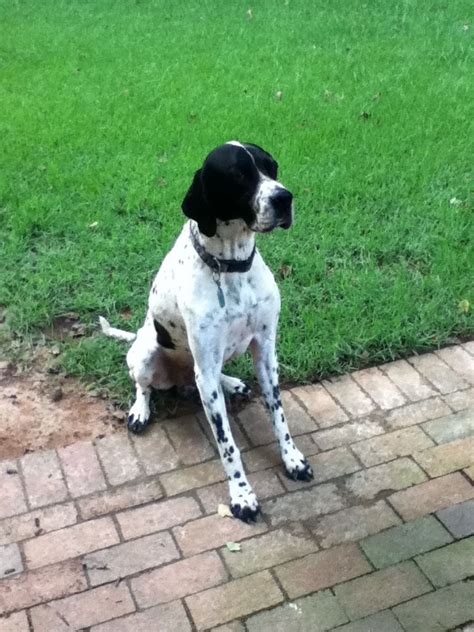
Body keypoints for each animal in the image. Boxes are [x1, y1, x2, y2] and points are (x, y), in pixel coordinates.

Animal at [99, 141, 312, 520]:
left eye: (272, 167)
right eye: (238, 174)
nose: (284, 198)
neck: (230, 266)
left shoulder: (266, 351)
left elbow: (279, 415)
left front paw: (292, 459)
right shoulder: (207, 367)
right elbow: (228, 445)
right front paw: (241, 495)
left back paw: (232, 383)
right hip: (149, 355)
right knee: (143, 386)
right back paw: (140, 410)